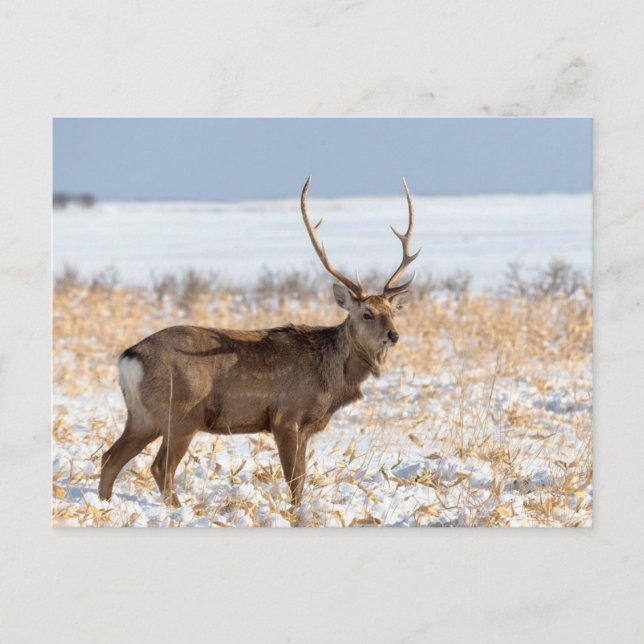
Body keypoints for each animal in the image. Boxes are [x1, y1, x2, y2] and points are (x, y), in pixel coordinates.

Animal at [98, 177, 420, 508]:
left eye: (392, 312)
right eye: (367, 314)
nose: (393, 335)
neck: (331, 379)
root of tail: (128, 357)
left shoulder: (305, 426)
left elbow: (302, 478)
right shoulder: (286, 416)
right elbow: (295, 481)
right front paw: (296, 512)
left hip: (142, 416)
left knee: (110, 458)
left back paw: (104, 504)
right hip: (181, 411)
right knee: (160, 466)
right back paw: (175, 510)